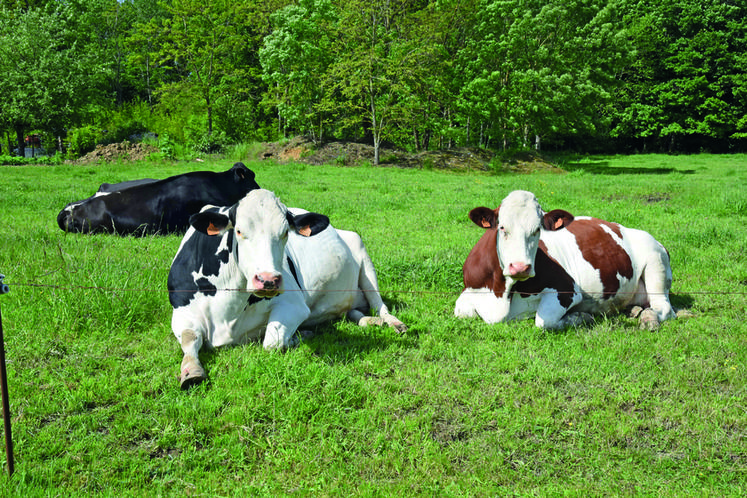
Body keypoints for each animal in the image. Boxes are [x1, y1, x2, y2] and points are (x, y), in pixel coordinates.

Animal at [456, 191, 676, 330]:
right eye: (502, 227)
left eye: (537, 230)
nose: (520, 267)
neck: (500, 293)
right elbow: (461, 311)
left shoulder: (567, 290)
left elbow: (543, 321)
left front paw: (581, 317)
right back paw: (635, 310)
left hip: (655, 263)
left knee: (664, 308)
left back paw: (648, 317)